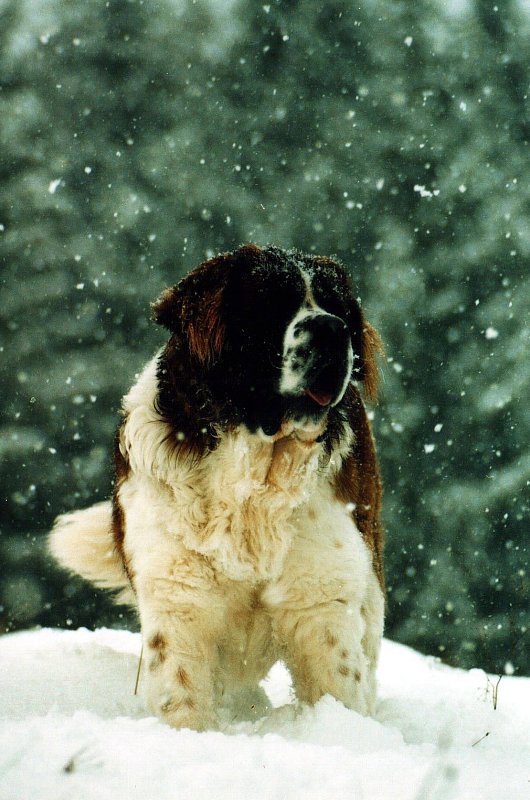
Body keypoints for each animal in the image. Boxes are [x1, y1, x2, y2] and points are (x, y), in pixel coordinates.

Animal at [49, 244, 382, 732]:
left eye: (336, 307)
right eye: (271, 304)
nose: (331, 330)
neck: (253, 471)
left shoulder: (321, 596)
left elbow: (337, 685)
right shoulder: (177, 598)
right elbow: (181, 693)